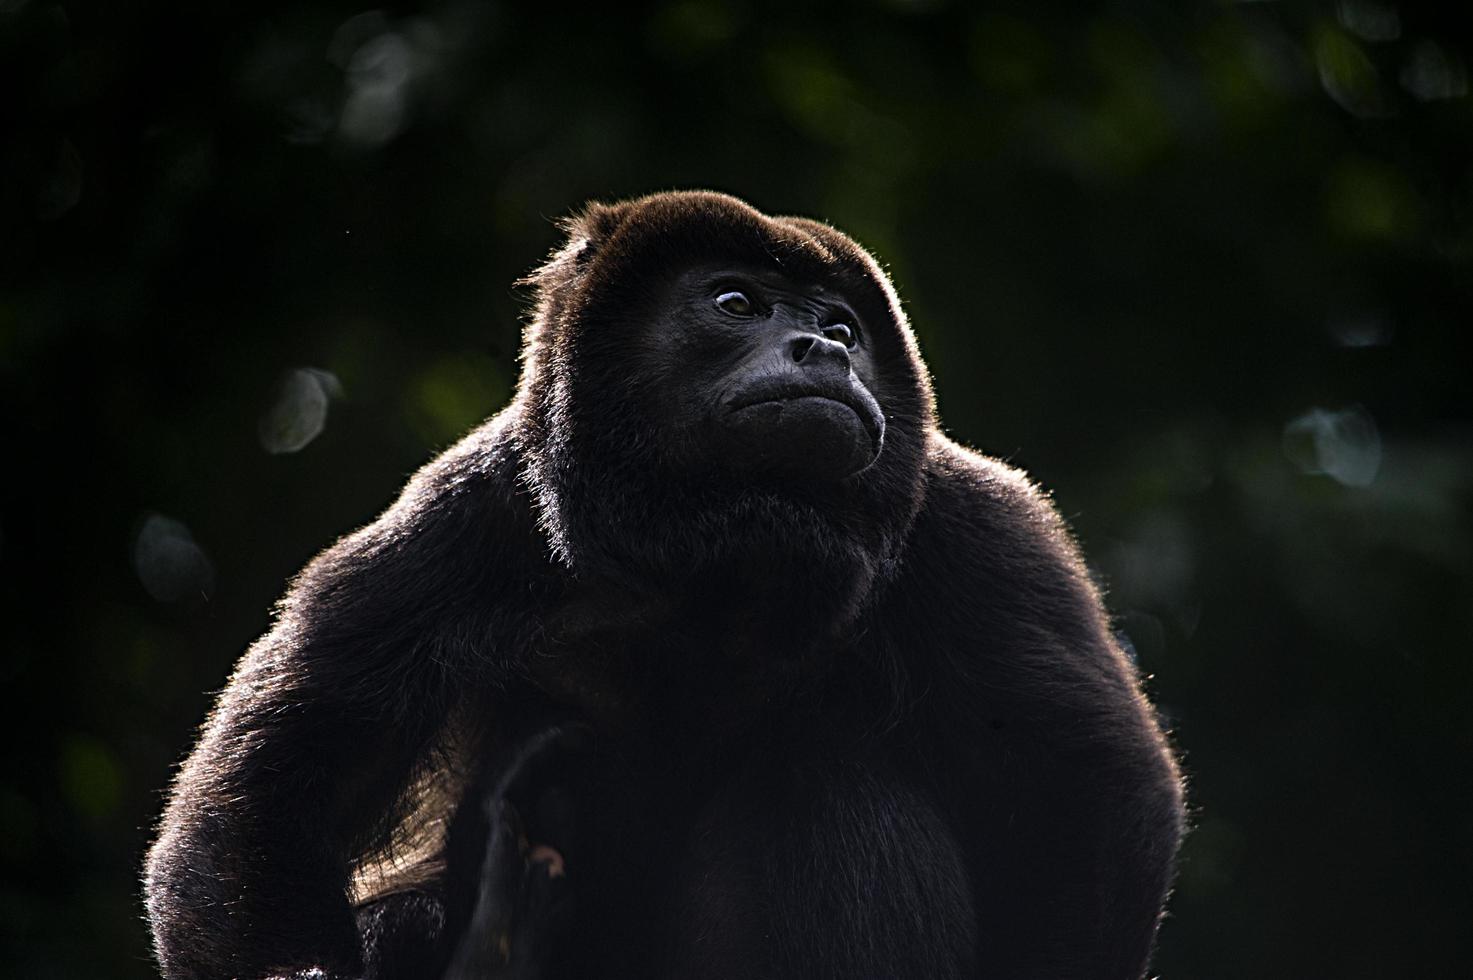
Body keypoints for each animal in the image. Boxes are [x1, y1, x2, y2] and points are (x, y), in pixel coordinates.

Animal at [146, 191, 1184, 978]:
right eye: (736, 303)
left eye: (841, 326)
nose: (825, 351)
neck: (717, 555)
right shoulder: (458, 529)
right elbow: (269, 807)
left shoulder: (978, 531)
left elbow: (1089, 786)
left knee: (831, 792)